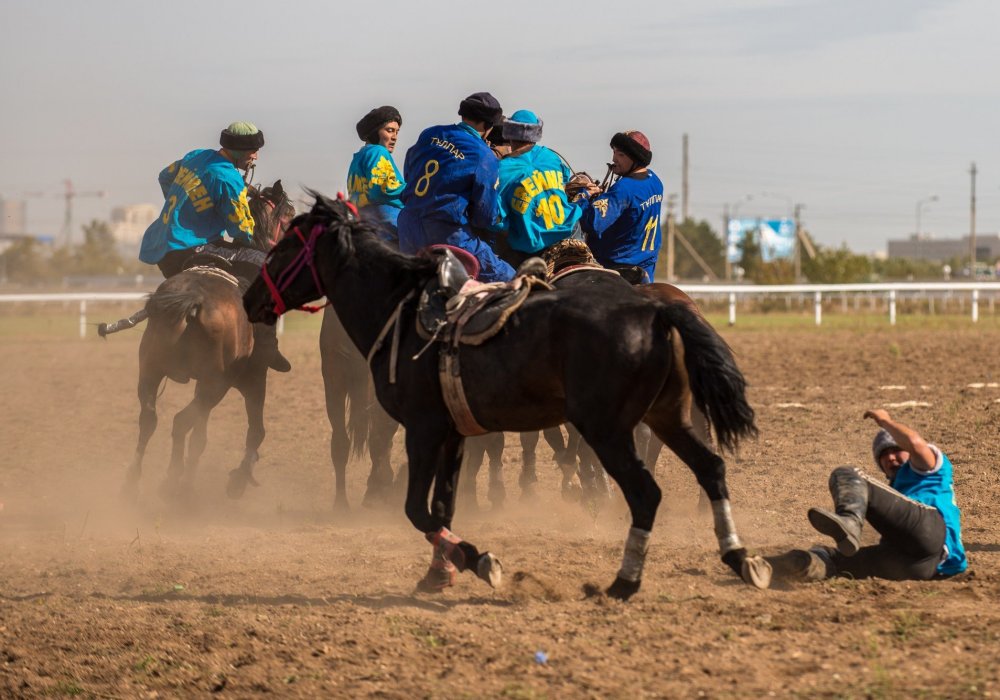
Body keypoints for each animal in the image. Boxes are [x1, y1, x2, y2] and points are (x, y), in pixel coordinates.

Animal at [246, 194, 760, 600]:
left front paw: (479, 560)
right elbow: (441, 507)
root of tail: (658, 312)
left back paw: (623, 581)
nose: (252, 299)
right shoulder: (452, 434)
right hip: (668, 416)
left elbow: (417, 509)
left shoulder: (423, 430)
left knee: (645, 491)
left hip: (609, 430)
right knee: (711, 467)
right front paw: (443, 571)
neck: (405, 314)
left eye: (287, 245)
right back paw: (741, 559)